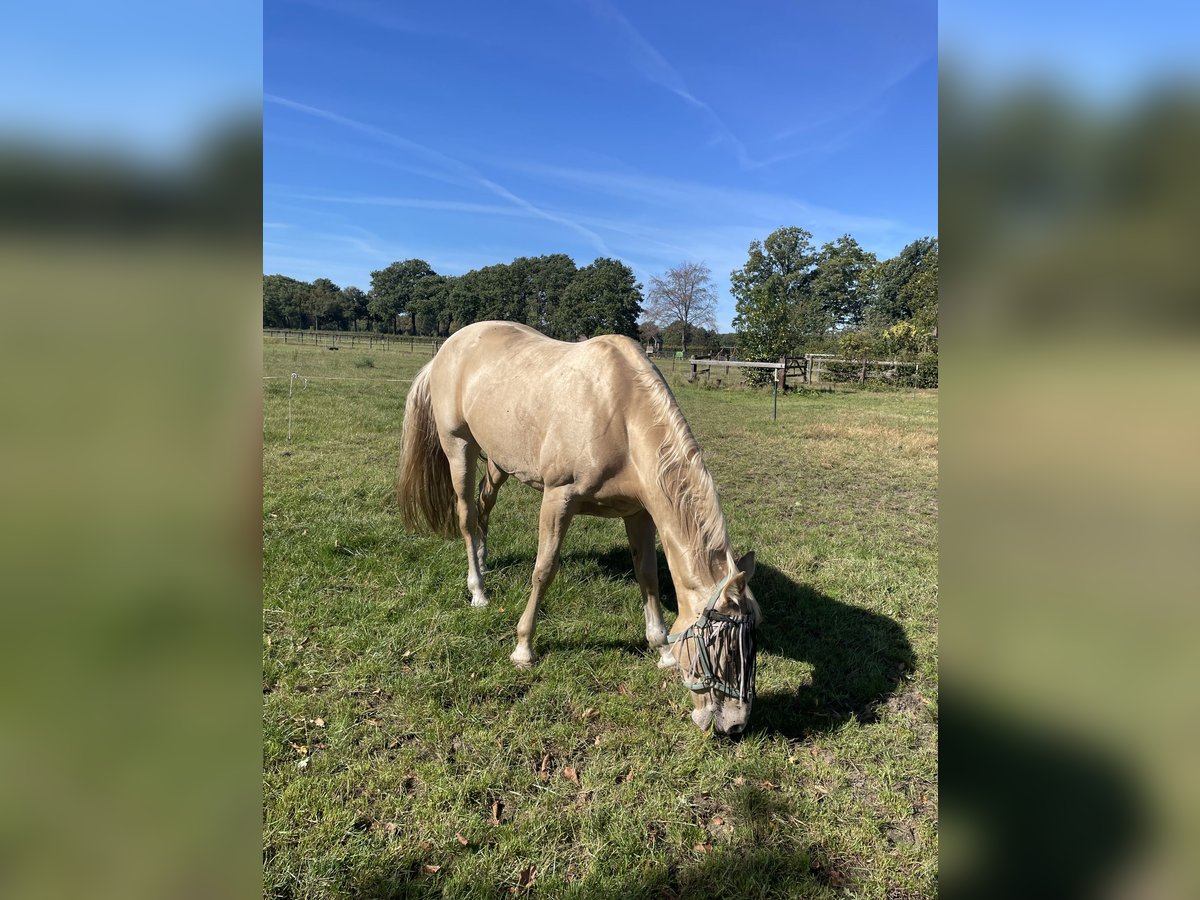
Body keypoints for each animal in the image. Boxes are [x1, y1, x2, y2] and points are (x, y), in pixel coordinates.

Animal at [396, 321, 761, 734]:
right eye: (720, 643)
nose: (735, 726)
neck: (620, 415)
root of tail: (448, 348)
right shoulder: (559, 499)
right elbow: (544, 570)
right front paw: (523, 649)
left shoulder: (639, 514)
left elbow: (648, 575)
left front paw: (663, 649)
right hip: (459, 447)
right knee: (467, 517)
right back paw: (478, 590)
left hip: (500, 460)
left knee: (484, 507)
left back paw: (485, 564)